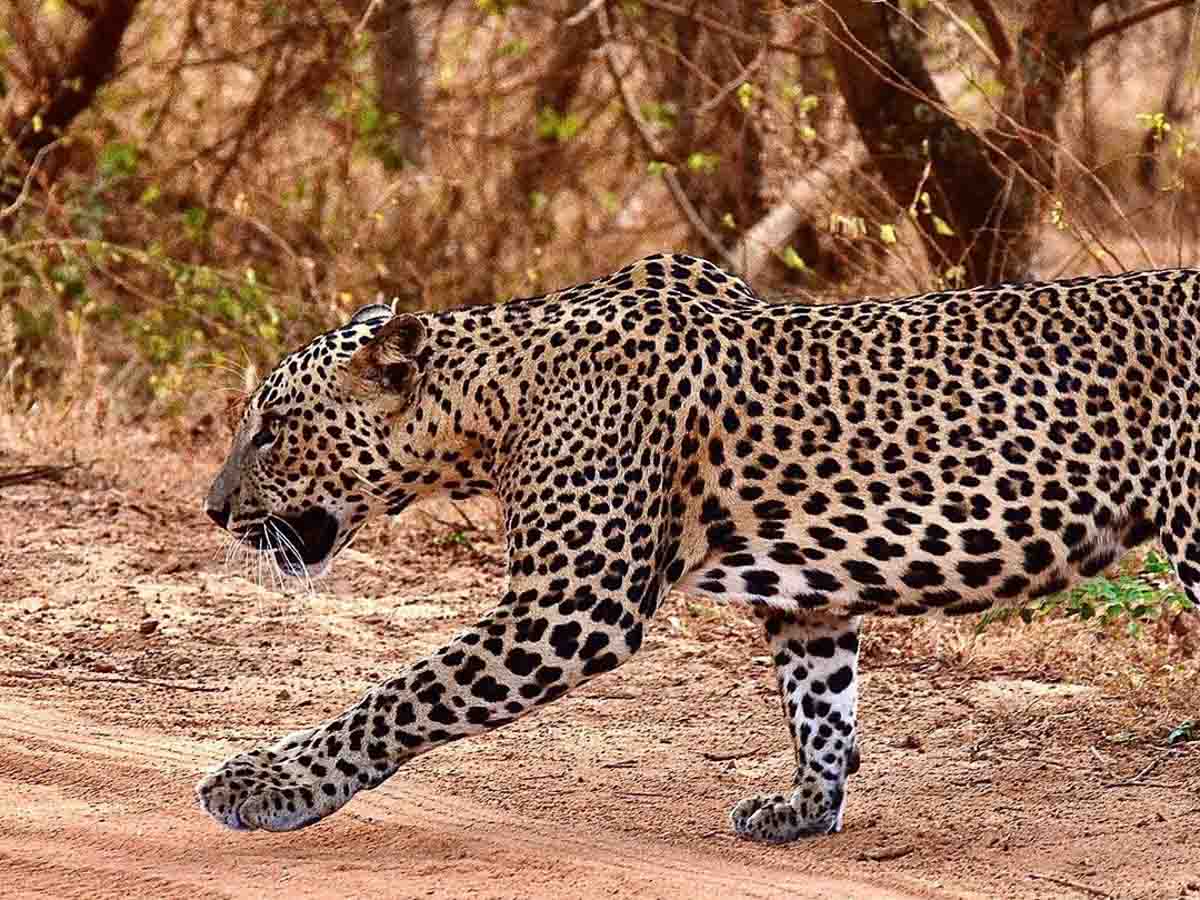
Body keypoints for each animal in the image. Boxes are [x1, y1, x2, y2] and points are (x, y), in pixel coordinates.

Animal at [199, 254, 1200, 844]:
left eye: (273, 429)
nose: (211, 509)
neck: (492, 405)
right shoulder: (809, 596)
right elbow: (820, 705)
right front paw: (805, 808)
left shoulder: (574, 602)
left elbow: (400, 696)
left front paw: (272, 783)